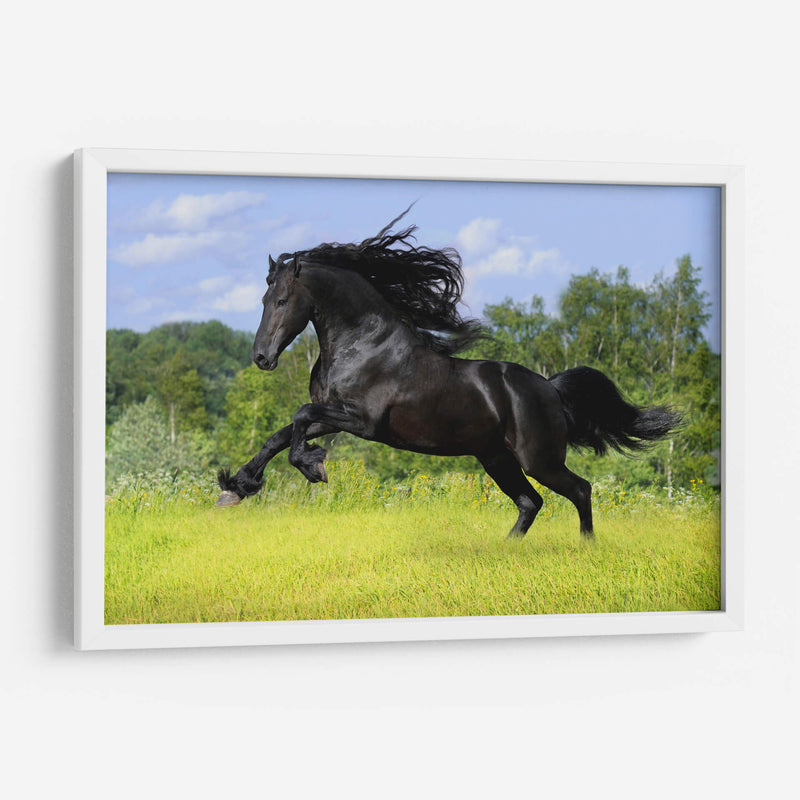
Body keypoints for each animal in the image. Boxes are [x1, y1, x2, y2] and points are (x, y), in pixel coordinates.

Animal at [216, 210, 680, 539]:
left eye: (281, 300)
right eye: (262, 299)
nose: (261, 357)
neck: (362, 345)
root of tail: (549, 388)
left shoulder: (362, 422)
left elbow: (297, 416)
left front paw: (313, 468)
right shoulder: (334, 415)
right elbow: (280, 434)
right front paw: (236, 487)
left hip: (539, 459)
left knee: (579, 490)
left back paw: (586, 547)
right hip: (496, 458)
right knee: (530, 503)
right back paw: (505, 550)